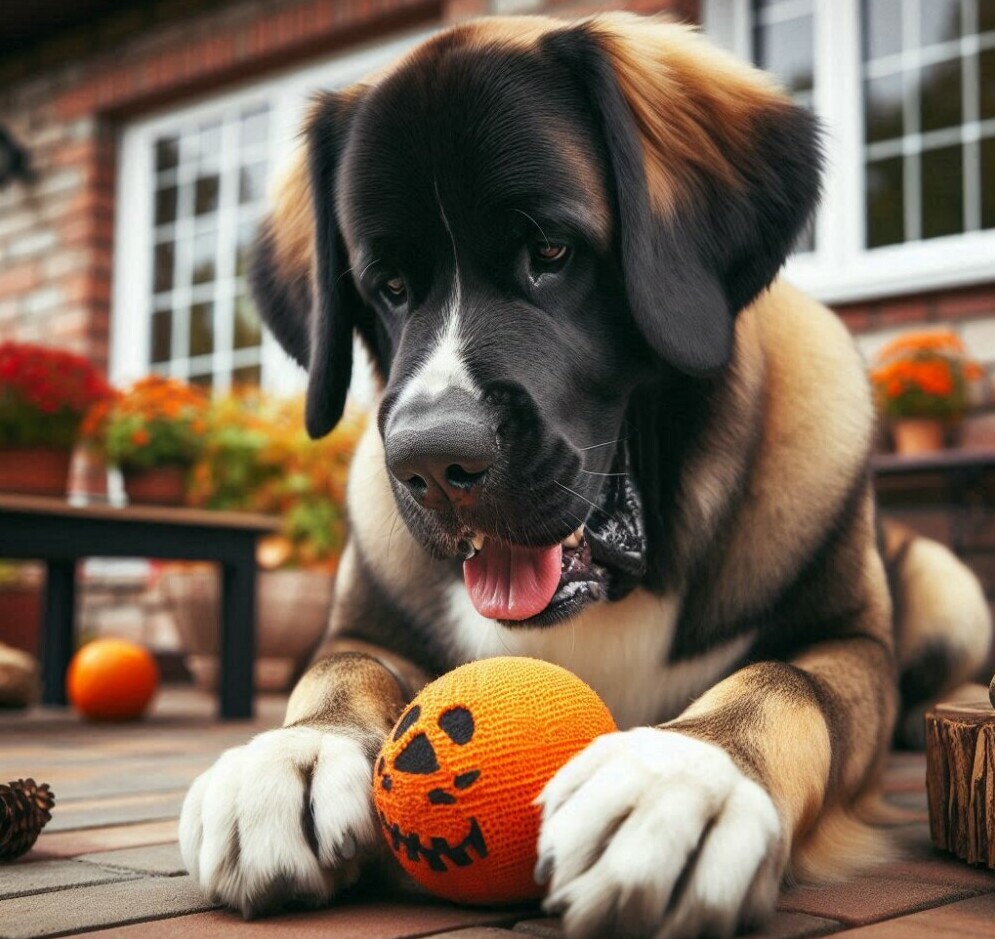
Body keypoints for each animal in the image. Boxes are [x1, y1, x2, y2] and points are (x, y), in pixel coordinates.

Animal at [175, 16, 992, 939]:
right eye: (386, 285)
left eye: (551, 252)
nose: (430, 462)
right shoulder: (365, 625)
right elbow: (339, 670)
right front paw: (290, 756)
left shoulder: (846, 643)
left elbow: (781, 684)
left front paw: (683, 772)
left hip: (947, 585)